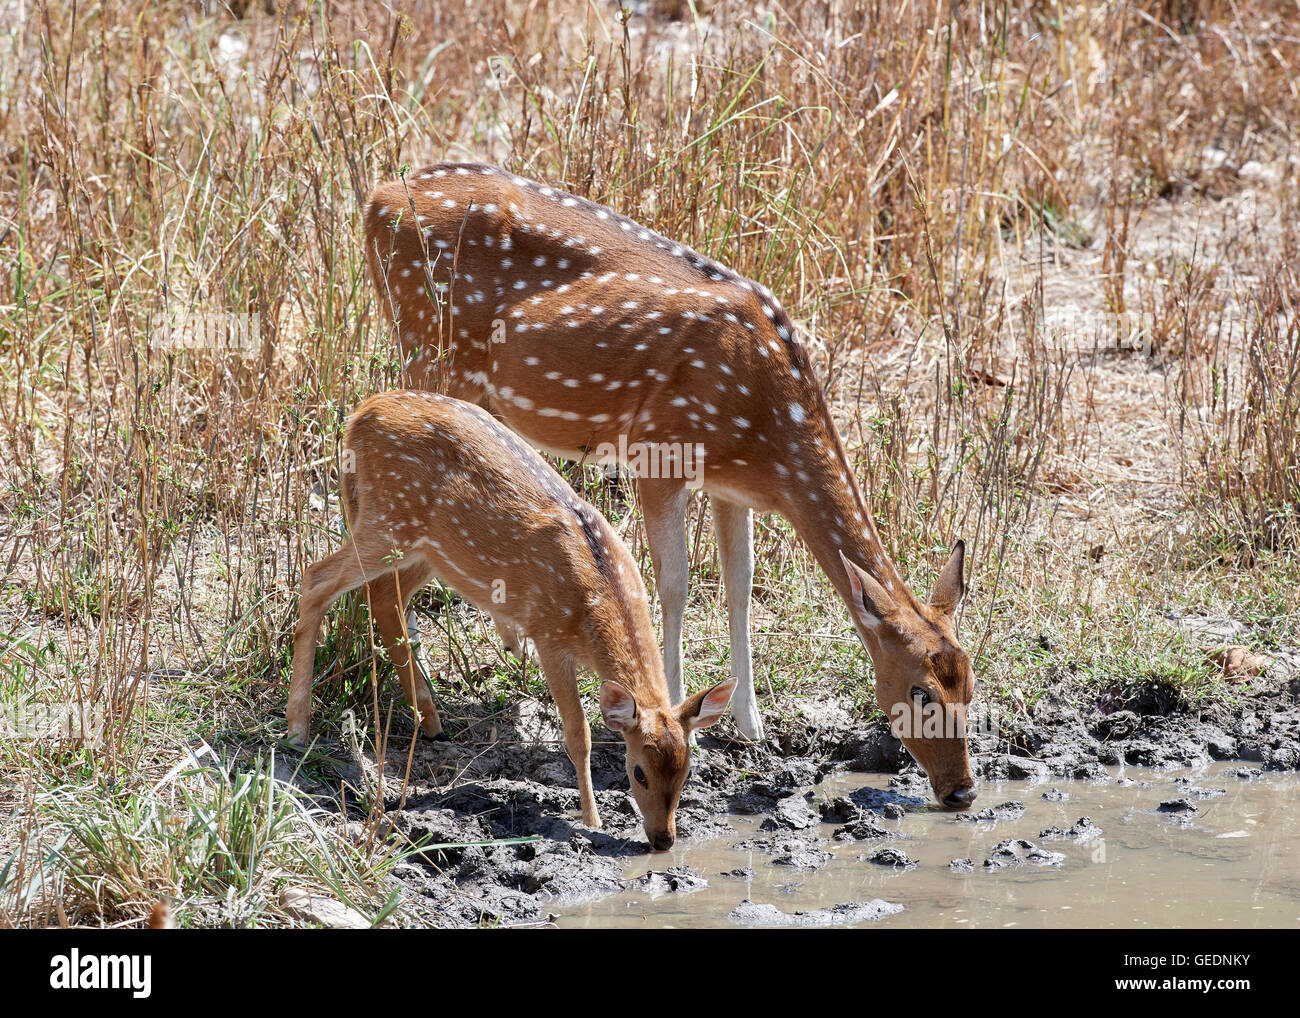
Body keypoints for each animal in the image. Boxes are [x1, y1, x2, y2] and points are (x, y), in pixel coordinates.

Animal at [287, 390, 736, 849]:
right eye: (638, 771)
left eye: (687, 772)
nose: (664, 839)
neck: (597, 594)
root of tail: (362, 412)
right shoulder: (547, 632)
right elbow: (579, 734)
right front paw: (592, 820)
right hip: (388, 516)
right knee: (317, 578)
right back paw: (297, 729)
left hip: (428, 548)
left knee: (381, 597)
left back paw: (431, 722)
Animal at [362, 162, 978, 809]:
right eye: (919, 691)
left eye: (971, 685)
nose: (962, 791)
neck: (765, 428)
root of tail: (377, 199)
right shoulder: (658, 450)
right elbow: (677, 584)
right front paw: (686, 717)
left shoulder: (734, 488)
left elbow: (740, 585)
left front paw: (751, 725)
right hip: (429, 343)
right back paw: (426, 704)